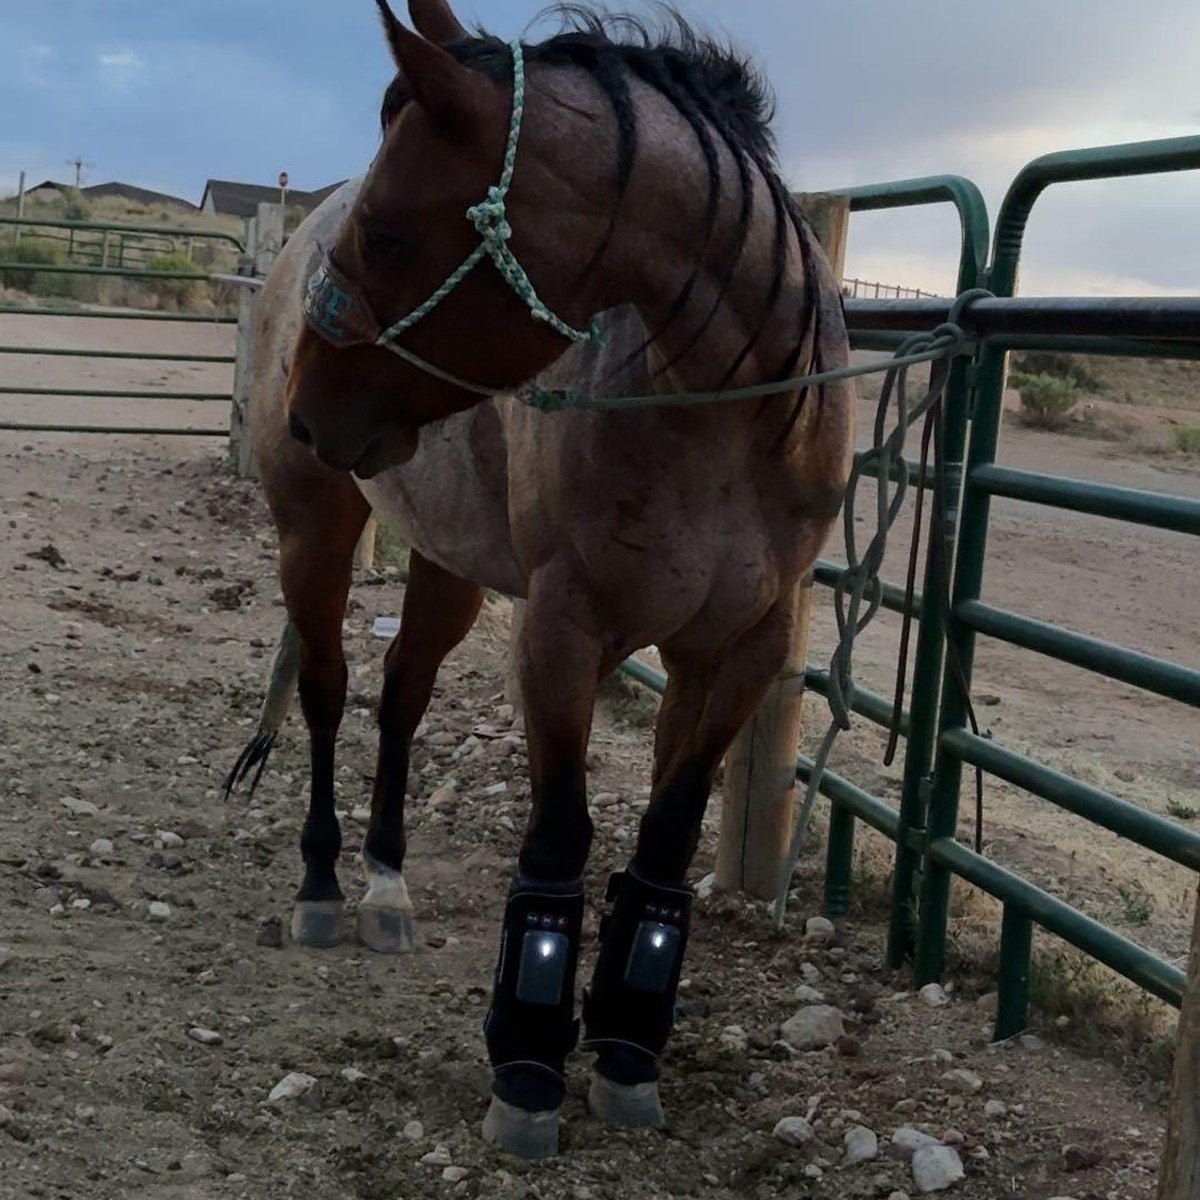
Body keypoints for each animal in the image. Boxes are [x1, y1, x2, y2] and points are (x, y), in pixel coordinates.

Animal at [230, 0, 854, 1158]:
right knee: (331, 692)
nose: (307, 407)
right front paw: (526, 1067)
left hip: (447, 566)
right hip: (313, 531)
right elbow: (561, 834)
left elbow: (665, 838)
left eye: (390, 234)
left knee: (401, 698)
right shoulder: (565, 634)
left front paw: (626, 1048)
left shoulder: (732, 652)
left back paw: (387, 885)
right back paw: (326, 883)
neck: (715, 423)